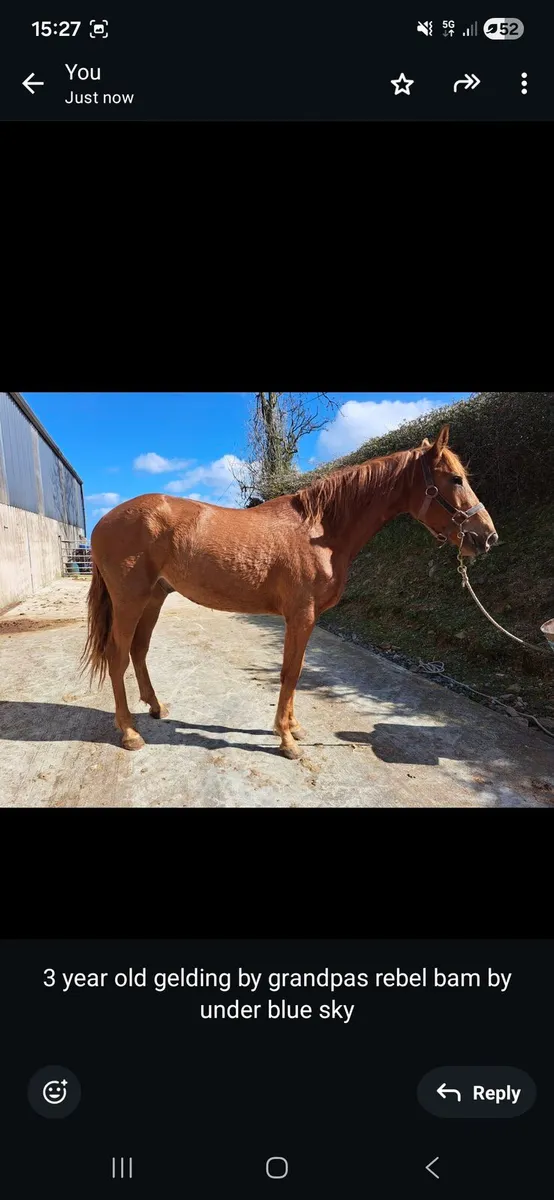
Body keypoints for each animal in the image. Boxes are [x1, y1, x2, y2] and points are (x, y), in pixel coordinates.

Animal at [82, 425, 497, 757]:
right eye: (455, 479)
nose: (487, 537)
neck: (321, 532)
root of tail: (103, 521)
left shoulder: (305, 619)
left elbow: (294, 672)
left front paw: (293, 728)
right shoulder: (301, 615)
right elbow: (290, 672)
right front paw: (286, 740)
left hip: (154, 597)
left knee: (138, 650)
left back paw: (154, 708)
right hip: (130, 601)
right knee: (117, 656)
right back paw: (130, 732)